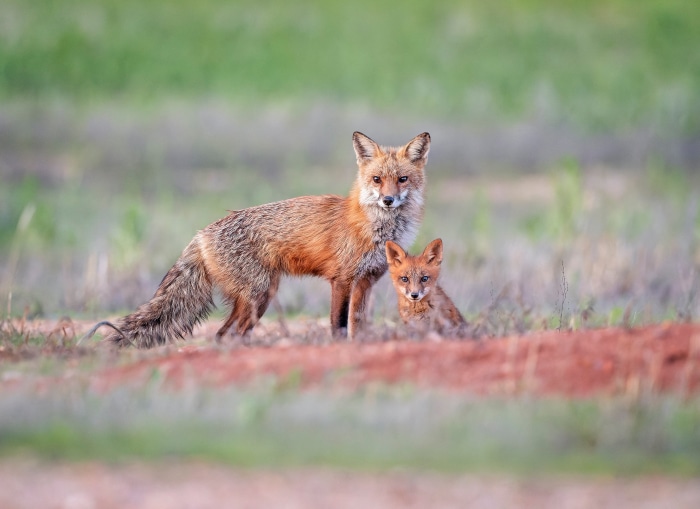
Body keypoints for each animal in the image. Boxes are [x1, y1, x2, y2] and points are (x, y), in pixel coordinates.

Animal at [100, 131, 431, 348]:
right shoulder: (342, 279)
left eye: (402, 179)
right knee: (227, 335)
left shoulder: (366, 281)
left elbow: (357, 325)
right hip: (259, 296)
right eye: (377, 179)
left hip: (259, 298)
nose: (388, 200)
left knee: (224, 335)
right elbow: (337, 325)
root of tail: (201, 233)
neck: (376, 229)